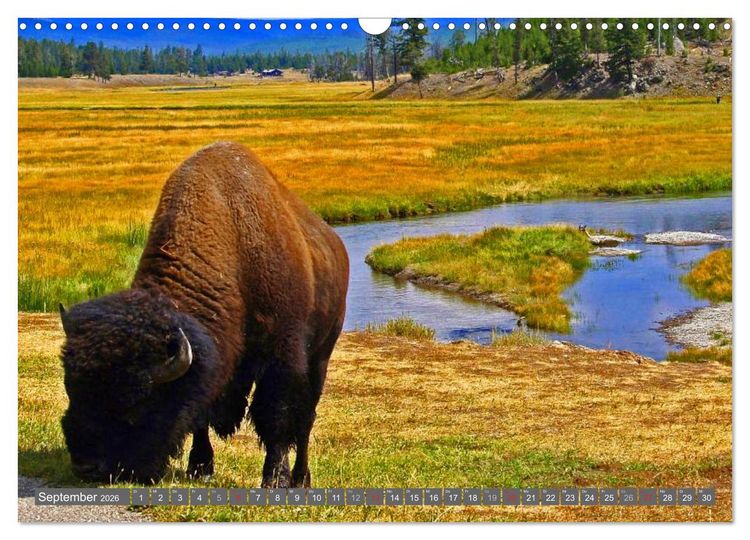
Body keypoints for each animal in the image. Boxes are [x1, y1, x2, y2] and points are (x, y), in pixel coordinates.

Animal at [59, 142, 349, 487]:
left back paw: (301, 478)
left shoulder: (282, 355)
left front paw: (273, 479)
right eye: (71, 390)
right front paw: (200, 467)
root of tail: (336, 245)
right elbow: (201, 414)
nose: (86, 466)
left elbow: (276, 416)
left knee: (306, 420)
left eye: (136, 405)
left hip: (321, 356)